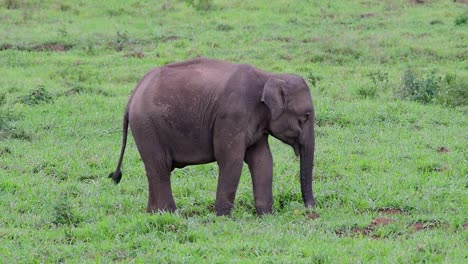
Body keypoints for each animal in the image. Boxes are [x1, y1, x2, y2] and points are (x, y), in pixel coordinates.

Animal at [108, 56, 316, 216]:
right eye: (306, 116)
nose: (311, 211)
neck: (269, 76)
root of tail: (132, 95)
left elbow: (263, 160)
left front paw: (265, 216)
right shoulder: (231, 116)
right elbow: (231, 160)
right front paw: (223, 218)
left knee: (155, 169)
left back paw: (153, 214)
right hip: (147, 125)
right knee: (160, 167)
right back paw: (170, 214)